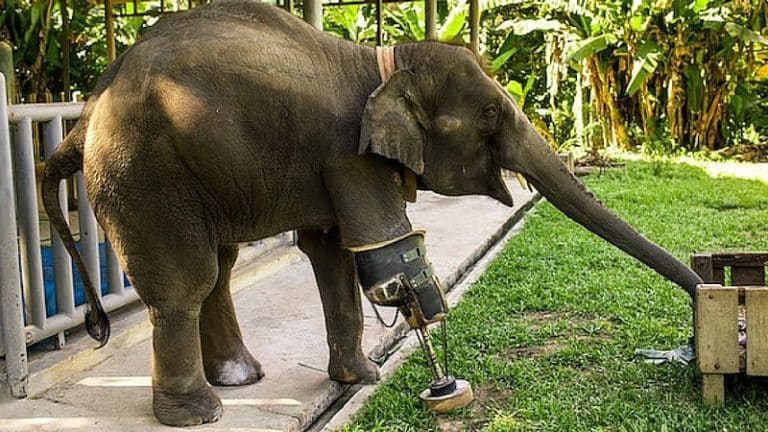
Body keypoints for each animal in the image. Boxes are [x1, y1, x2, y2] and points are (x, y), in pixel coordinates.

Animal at [42, 0, 703, 426]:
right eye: (491, 113)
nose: (697, 320)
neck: (383, 61)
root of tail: (87, 110)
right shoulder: (349, 155)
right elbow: (382, 249)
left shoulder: (333, 163)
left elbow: (334, 253)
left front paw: (363, 380)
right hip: (145, 175)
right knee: (188, 280)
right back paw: (199, 413)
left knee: (220, 267)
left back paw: (239, 379)